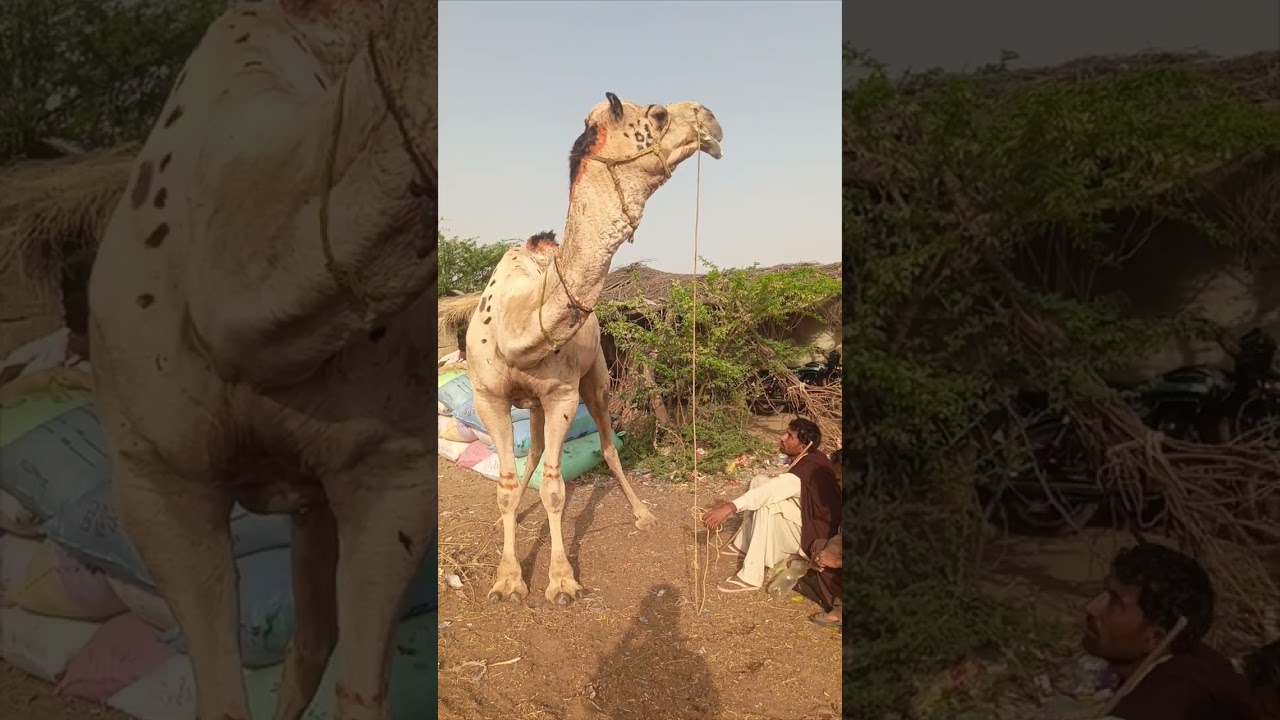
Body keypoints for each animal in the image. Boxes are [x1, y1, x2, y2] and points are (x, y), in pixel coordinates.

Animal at [465, 93, 723, 605]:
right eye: (658, 114)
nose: (711, 122)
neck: (514, 323)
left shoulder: (563, 394)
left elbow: (556, 489)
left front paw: (562, 580)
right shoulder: (489, 397)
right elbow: (506, 485)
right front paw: (507, 579)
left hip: (596, 380)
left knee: (605, 445)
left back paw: (642, 513)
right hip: (535, 401)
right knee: (535, 451)